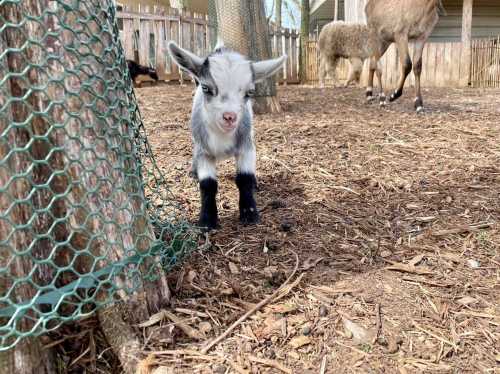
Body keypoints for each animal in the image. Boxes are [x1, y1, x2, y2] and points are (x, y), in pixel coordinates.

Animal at [168, 40, 286, 228]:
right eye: (206, 88)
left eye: (249, 92)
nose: (230, 117)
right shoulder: (204, 150)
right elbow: (208, 184)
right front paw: (207, 220)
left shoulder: (246, 146)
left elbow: (245, 178)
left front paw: (249, 213)